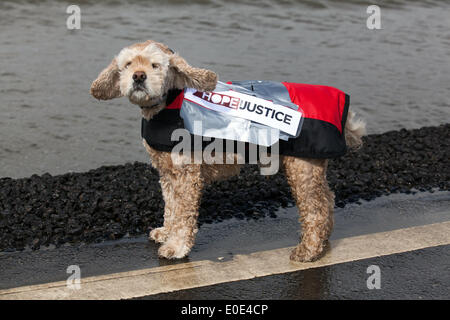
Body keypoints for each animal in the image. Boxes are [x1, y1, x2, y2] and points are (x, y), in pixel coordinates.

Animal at [91, 39, 366, 262]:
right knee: (327, 199)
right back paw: (323, 240)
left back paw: (308, 251)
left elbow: (183, 214)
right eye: (127, 64)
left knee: (315, 210)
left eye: (155, 65)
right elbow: (171, 207)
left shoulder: (187, 176)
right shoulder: (168, 174)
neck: (168, 101)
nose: (138, 76)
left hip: (302, 169)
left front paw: (176, 247)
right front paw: (166, 232)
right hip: (313, 168)